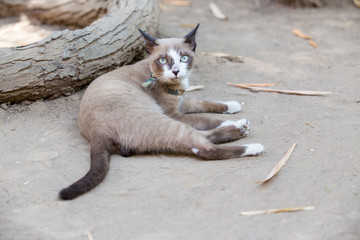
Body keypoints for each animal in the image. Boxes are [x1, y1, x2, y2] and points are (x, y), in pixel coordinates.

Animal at [59, 23, 264, 201]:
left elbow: (204, 102)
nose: (176, 71)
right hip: (163, 121)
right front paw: (233, 119)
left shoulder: (182, 101)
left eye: (184, 58)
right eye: (163, 60)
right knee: (203, 148)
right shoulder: (173, 113)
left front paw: (233, 105)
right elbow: (205, 119)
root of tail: (96, 132)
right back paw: (247, 137)